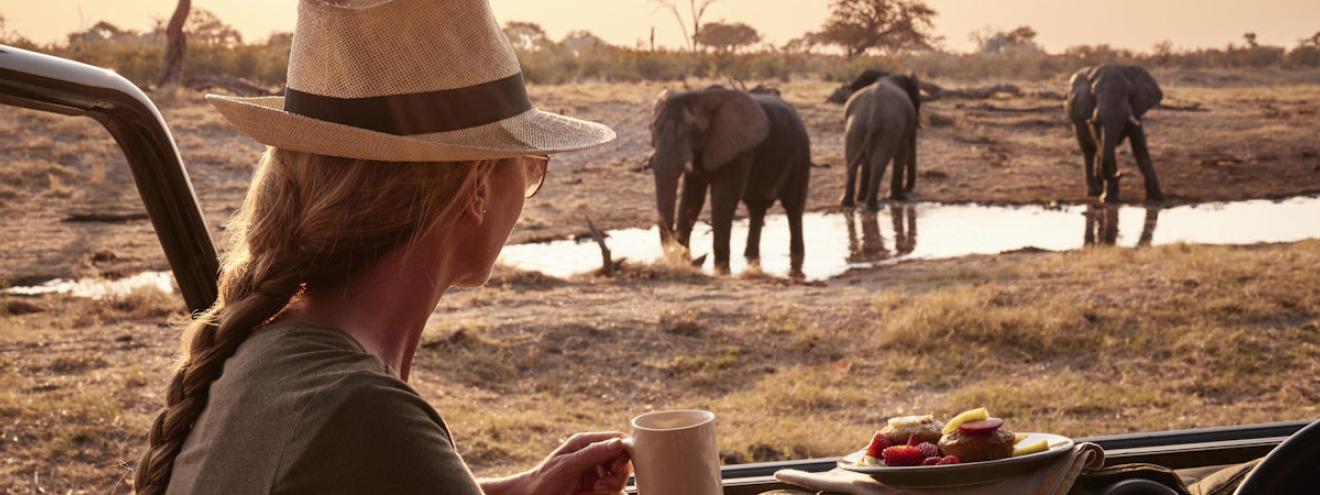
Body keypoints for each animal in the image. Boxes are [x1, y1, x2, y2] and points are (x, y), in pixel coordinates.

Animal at [649, 86, 812, 276]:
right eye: (652, 128)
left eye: (694, 131)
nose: (696, 258)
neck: (702, 96)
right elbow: (692, 199)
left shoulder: (739, 151)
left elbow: (723, 200)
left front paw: (721, 270)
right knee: (757, 208)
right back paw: (751, 258)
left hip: (801, 155)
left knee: (793, 207)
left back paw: (796, 261)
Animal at [838, 72, 922, 210]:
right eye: (918, 103)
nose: (907, 191)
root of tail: (874, 111)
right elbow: (901, 153)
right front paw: (898, 197)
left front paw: (861, 197)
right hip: (887, 128)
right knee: (879, 161)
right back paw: (873, 205)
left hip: (855, 125)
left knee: (851, 157)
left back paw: (847, 202)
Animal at [1066, 64, 1165, 203]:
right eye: (1093, 93)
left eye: (1129, 92)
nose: (1121, 173)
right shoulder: (1091, 110)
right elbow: (1102, 142)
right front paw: (1108, 199)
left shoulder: (1135, 109)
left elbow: (1140, 147)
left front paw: (1157, 198)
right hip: (1075, 121)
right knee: (1089, 151)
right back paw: (1093, 192)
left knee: (1098, 152)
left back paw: (1099, 188)